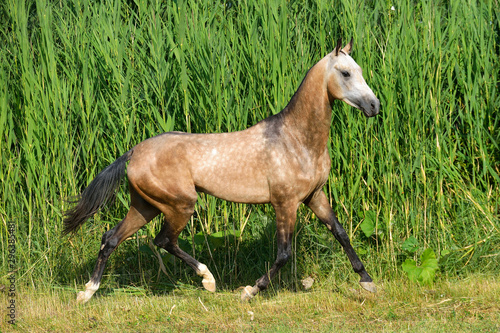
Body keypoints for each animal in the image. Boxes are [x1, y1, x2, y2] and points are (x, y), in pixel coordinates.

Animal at [64, 37, 380, 302]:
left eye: (360, 70)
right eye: (346, 73)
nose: (374, 105)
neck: (296, 140)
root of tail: (134, 152)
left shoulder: (314, 196)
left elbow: (340, 232)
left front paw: (367, 281)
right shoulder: (285, 203)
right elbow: (283, 254)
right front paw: (250, 291)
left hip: (146, 205)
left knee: (111, 238)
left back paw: (87, 292)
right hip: (180, 204)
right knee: (163, 239)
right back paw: (208, 280)